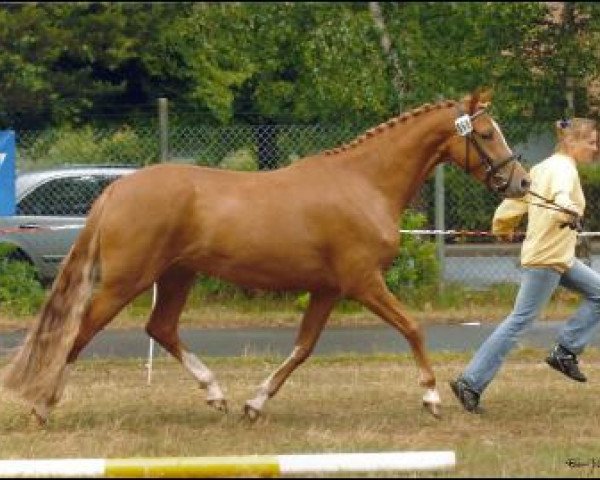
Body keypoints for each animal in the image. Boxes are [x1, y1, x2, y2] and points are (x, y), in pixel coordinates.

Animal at [3, 90, 528, 424]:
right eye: (486, 133)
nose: (520, 181)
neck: (363, 183)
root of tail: (116, 190)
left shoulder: (327, 289)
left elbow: (303, 348)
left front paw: (255, 404)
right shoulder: (363, 282)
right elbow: (413, 327)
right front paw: (432, 398)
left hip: (176, 275)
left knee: (161, 328)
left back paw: (216, 394)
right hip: (124, 281)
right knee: (81, 331)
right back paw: (43, 406)